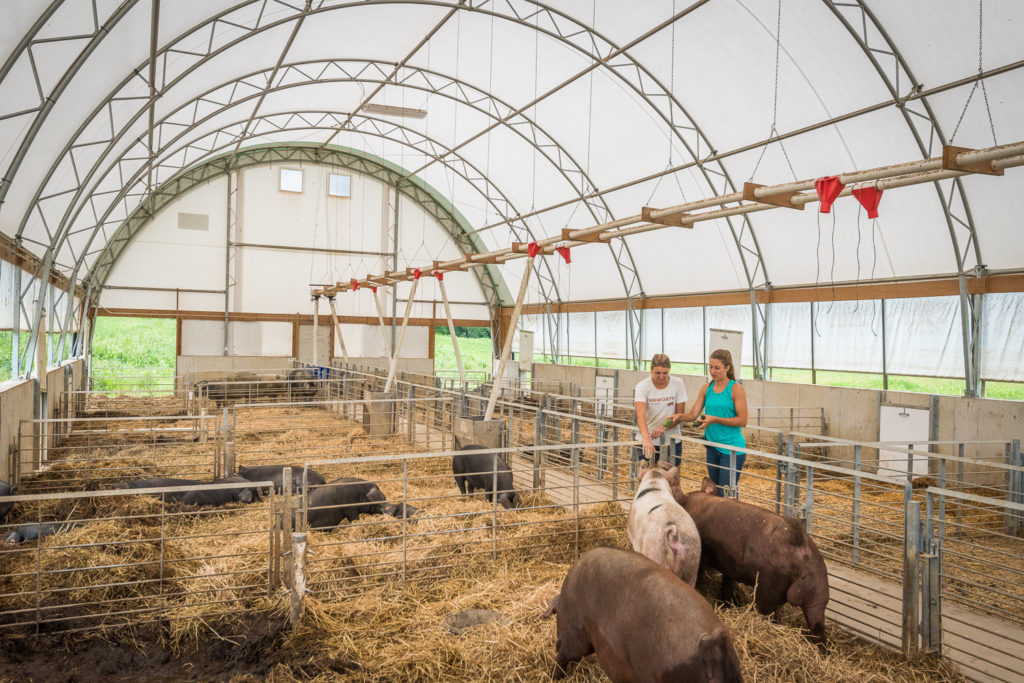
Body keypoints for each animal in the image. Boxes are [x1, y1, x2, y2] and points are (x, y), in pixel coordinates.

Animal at [667, 473, 827, 643]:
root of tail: (799, 546)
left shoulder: (704, 558)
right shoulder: (730, 565)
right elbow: (727, 585)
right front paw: (728, 604)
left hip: (768, 588)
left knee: (771, 614)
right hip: (818, 593)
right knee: (817, 626)